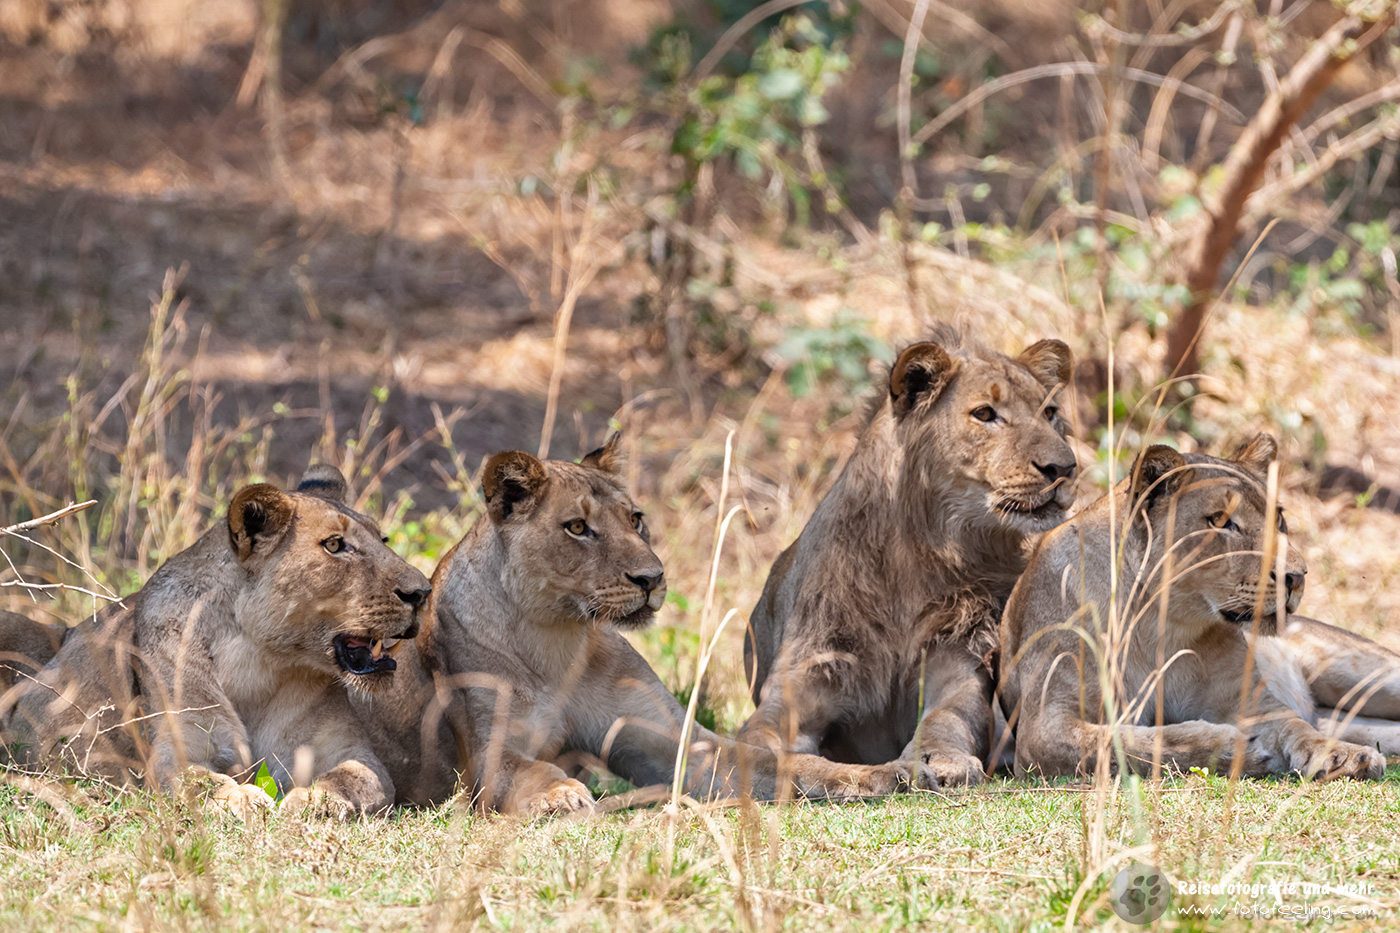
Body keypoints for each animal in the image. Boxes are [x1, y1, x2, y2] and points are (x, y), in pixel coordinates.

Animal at [1, 466, 432, 816]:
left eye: (383, 538)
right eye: (334, 545)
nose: (422, 592)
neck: (260, 664)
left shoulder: (347, 750)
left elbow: (358, 777)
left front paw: (316, 800)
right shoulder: (176, 752)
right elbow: (199, 782)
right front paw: (241, 798)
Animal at [353, 435, 935, 815]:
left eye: (635, 519)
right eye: (578, 528)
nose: (653, 578)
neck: (557, 640)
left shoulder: (680, 747)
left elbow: (787, 764)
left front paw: (886, 773)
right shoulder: (487, 759)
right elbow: (529, 769)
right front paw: (560, 793)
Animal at [737, 325, 1078, 786]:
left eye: (1050, 412)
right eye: (985, 414)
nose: (1065, 468)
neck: (915, 557)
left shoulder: (959, 663)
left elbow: (946, 719)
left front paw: (942, 760)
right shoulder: (803, 681)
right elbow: (769, 749)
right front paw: (861, 777)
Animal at [999, 435, 1398, 780]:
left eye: (1279, 519)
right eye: (1221, 522)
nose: (1297, 577)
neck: (1160, 624)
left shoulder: (1253, 701)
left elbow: (1295, 725)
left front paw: (1342, 755)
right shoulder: (1043, 729)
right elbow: (1127, 743)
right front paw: (1233, 748)